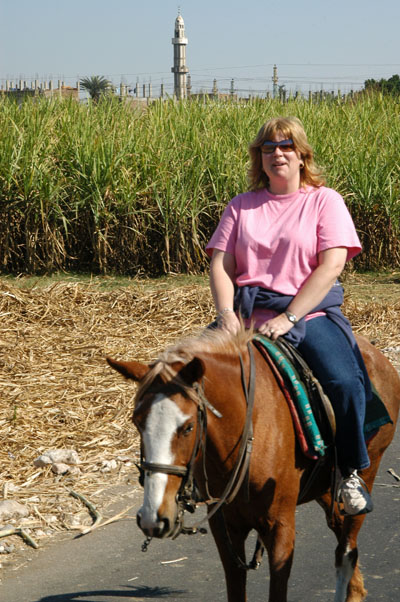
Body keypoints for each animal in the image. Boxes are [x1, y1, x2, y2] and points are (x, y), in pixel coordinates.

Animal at [107, 328, 400, 600]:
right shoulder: (226, 529)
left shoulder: (280, 527)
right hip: (325, 488)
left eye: (188, 427)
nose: (153, 517)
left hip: (367, 470)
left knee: (346, 549)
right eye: (137, 422)